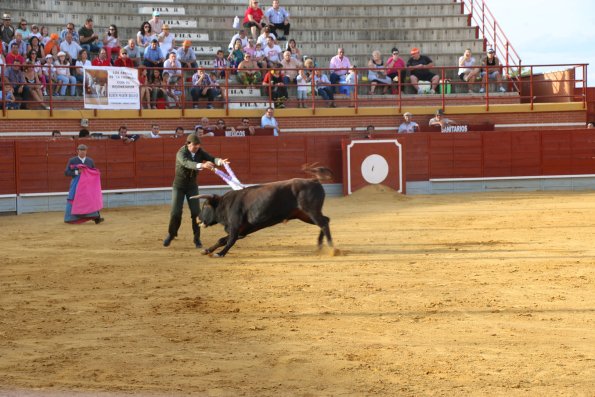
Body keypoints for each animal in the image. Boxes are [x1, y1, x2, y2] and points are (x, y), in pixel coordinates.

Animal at [196, 165, 336, 255]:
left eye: (205, 206)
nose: (197, 218)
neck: (225, 204)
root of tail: (314, 180)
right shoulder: (242, 231)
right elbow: (222, 239)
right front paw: (207, 250)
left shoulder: (235, 227)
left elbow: (230, 240)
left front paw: (220, 253)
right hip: (303, 215)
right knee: (325, 220)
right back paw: (320, 245)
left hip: (311, 211)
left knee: (323, 223)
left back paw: (332, 248)